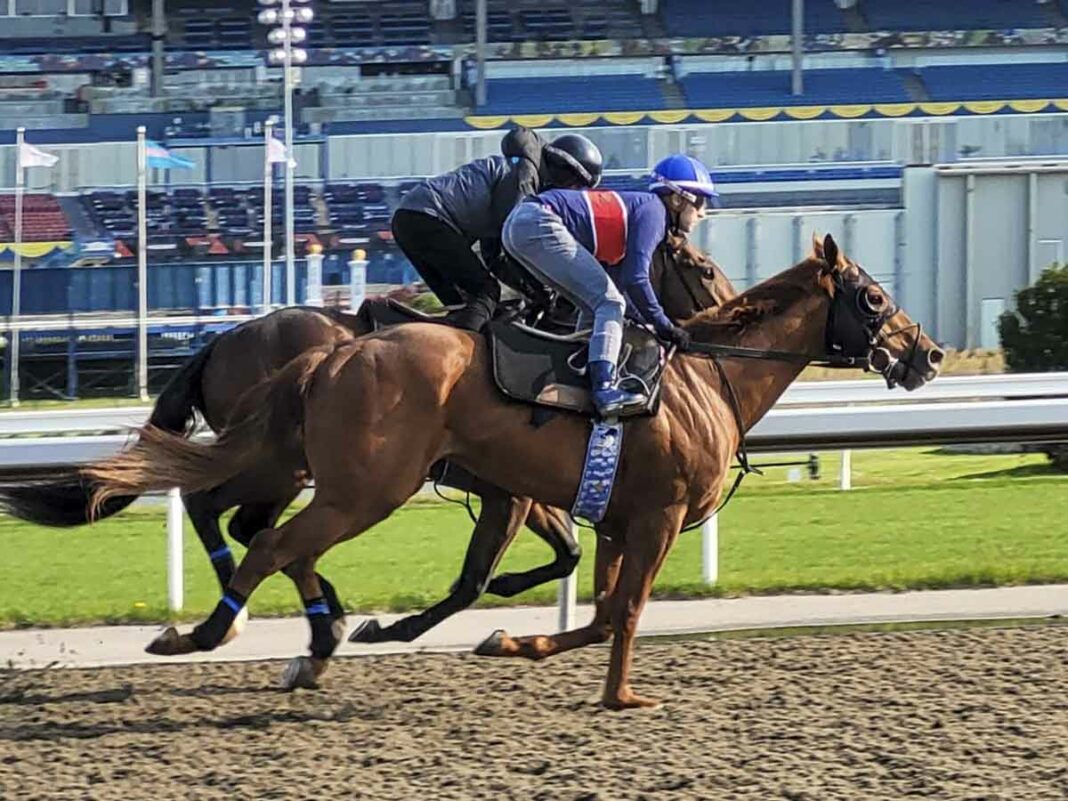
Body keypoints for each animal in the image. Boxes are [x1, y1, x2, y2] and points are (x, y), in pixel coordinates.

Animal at [83, 234, 944, 713]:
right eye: (873, 296)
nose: (929, 353)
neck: (706, 376)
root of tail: (331, 354)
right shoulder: (653, 515)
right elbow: (622, 611)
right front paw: (619, 694)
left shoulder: (605, 513)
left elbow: (590, 605)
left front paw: (504, 638)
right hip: (356, 485)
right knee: (260, 536)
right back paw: (216, 633)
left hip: (316, 474)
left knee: (258, 530)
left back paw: (308, 634)